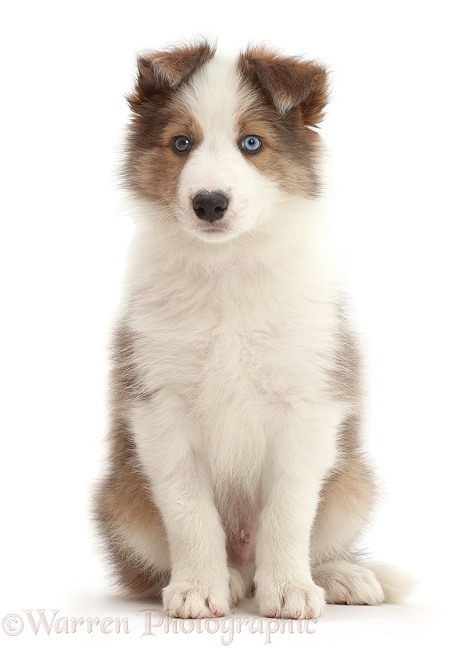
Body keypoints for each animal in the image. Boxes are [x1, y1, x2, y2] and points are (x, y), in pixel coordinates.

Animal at [93, 39, 412, 616]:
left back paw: (338, 576)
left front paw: (288, 590)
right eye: (181, 143)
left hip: (352, 484)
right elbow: (189, 510)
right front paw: (199, 588)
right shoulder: (161, 407)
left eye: (252, 143)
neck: (228, 267)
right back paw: (229, 579)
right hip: (123, 500)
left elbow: (288, 510)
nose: (209, 202)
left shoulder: (308, 404)